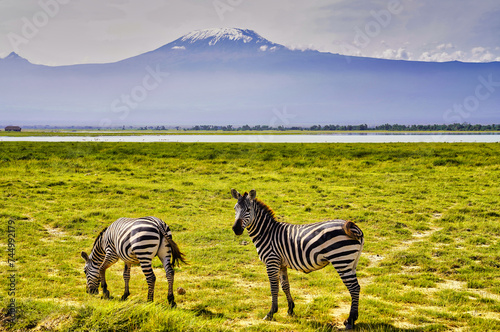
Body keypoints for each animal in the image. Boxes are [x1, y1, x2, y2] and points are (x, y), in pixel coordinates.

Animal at [230, 189, 364, 330]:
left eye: (248, 209)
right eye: (235, 208)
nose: (236, 229)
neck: (266, 233)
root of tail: (354, 227)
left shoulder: (271, 261)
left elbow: (274, 287)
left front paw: (271, 313)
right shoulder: (281, 264)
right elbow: (285, 286)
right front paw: (290, 309)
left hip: (342, 260)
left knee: (354, 288)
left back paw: (350, 321)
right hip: (351, 263)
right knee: (356, 287)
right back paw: (351, 319)